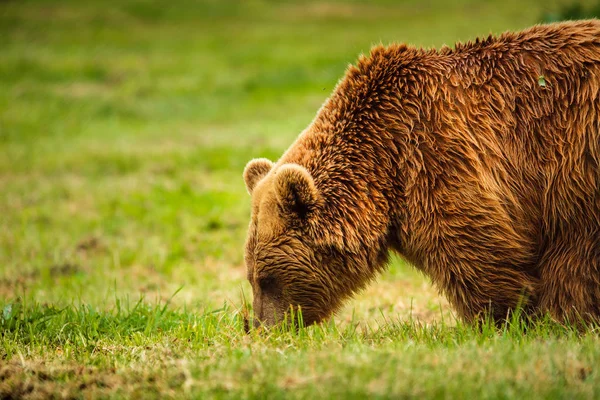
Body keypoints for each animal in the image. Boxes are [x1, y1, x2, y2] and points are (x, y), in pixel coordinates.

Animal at [241, 19, 600, 328]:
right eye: (251, 275)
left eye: (267, 278)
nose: (260, 326)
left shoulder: (435, 153)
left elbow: (472, 245)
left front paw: (508, 318)